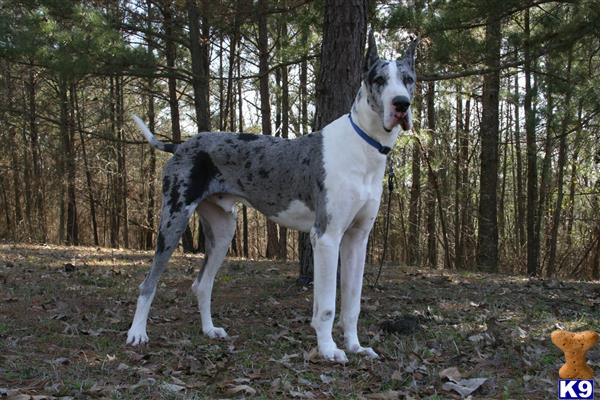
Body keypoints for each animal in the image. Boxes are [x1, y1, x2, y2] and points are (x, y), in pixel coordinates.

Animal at [127, 32, 418, 362]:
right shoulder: (326, 237)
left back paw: (209, 330)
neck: (364, 145)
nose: (401, 104)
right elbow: (327, 307)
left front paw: (355, 346)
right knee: (147, 284)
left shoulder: (357, 239)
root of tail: (181, 145)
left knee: (202, 284)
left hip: (224, 230)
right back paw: (137, 333)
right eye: (379, 79)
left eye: (408, 79)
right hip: (173, 221)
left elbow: (352, 304)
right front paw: (328, 349)